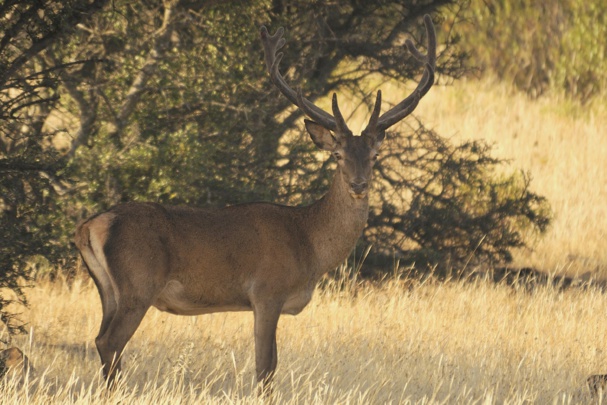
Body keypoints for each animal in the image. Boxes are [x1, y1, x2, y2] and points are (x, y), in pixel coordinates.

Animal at [75, 14, 436, 390]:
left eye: (374, 155)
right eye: (337, 155)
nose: (358, 184)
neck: (309, 244)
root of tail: (90, 225)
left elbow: (271, 365)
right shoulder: (266, 291)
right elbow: (265, 367)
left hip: (108, 290)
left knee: (100, 339)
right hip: (139, 283)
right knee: (110, 342)